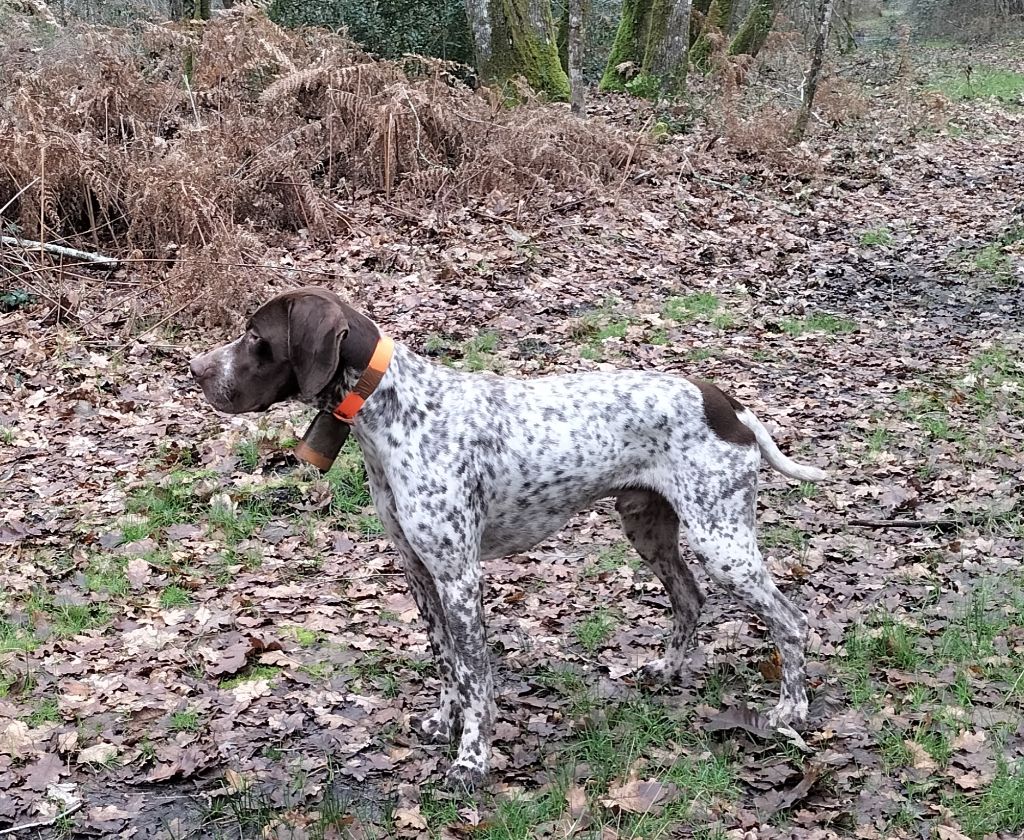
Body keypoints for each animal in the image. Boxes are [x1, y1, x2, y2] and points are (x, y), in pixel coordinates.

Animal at [190, 286, 831, 786]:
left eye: (254, 336)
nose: (195, 369)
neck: (393, 412)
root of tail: (728, 405)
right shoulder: (420, 574)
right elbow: (447, 663)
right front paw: (443, 724)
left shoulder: (459, 577)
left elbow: (476, 674)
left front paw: (472, 759)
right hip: (647, 527)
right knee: (690, 599)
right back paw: (667, 670)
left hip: (722, 541)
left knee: (789, 619)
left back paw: (790, 710)